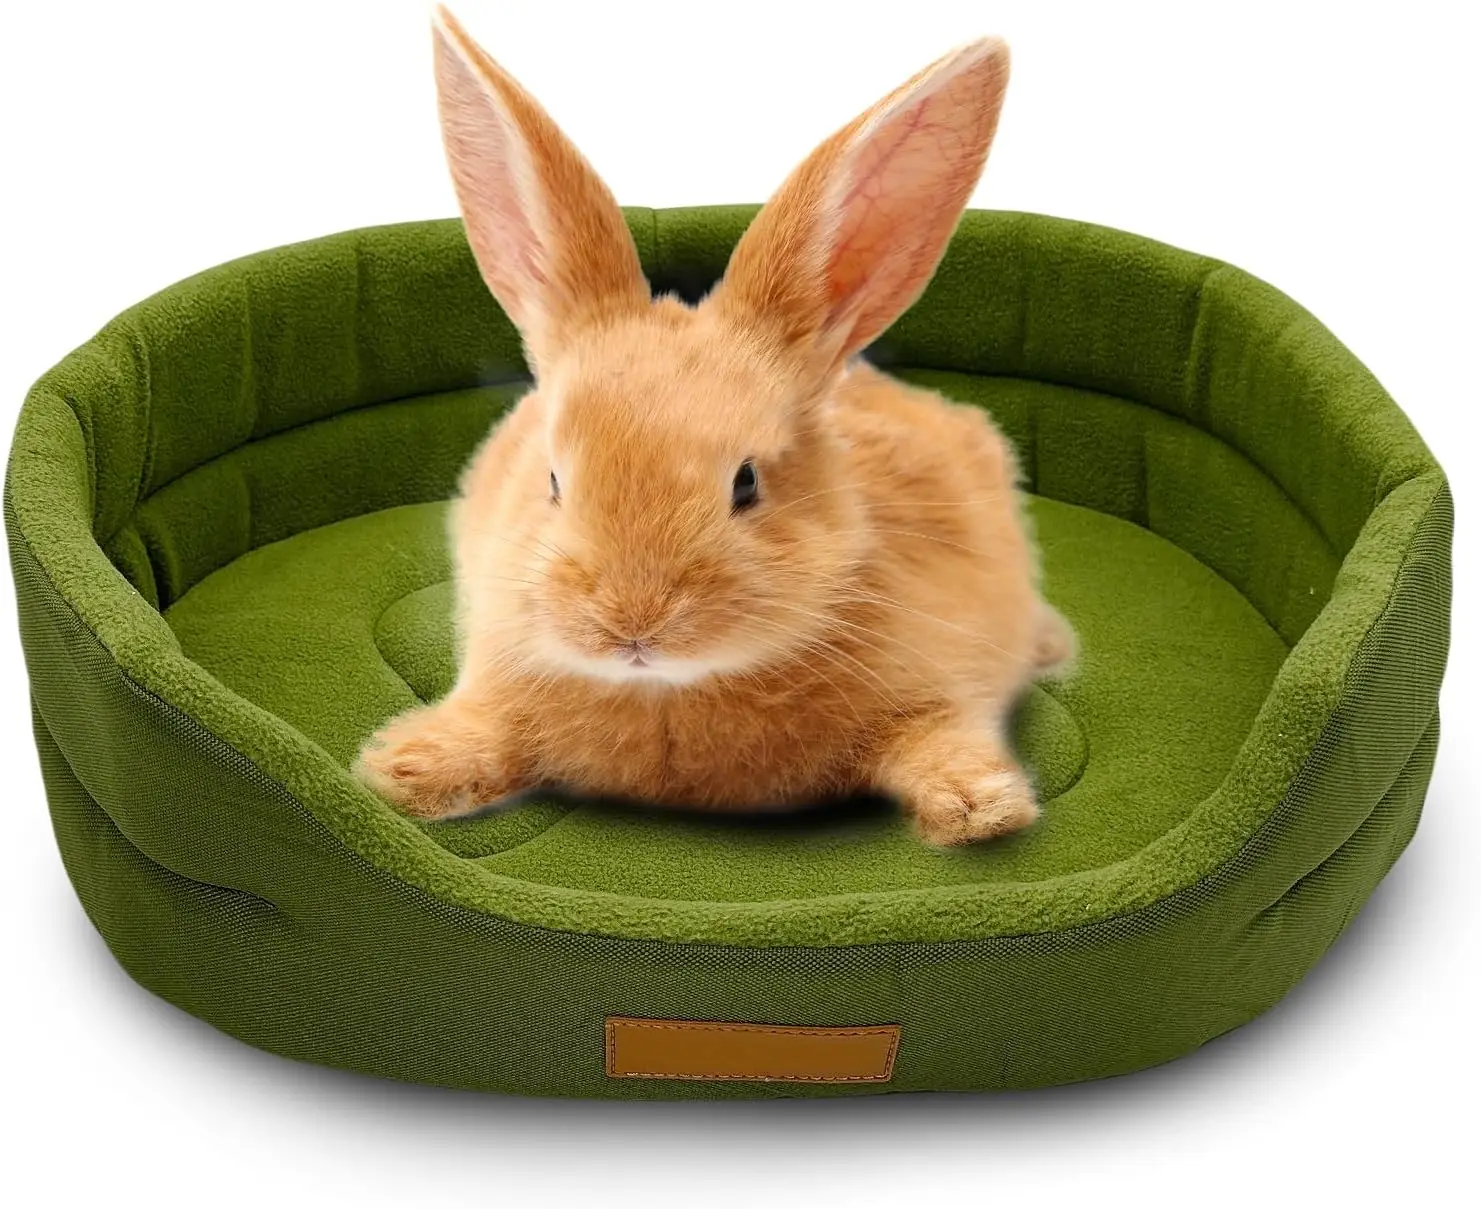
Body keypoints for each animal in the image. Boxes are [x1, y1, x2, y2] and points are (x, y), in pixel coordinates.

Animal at [355, 5, 1076, 846]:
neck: (671, 690)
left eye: (746, 482)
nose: (633, 623)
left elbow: (939, 733)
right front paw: (404, 771)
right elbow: (486, 727)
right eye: (553, 480)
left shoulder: (942, 681)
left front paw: (981, 808)